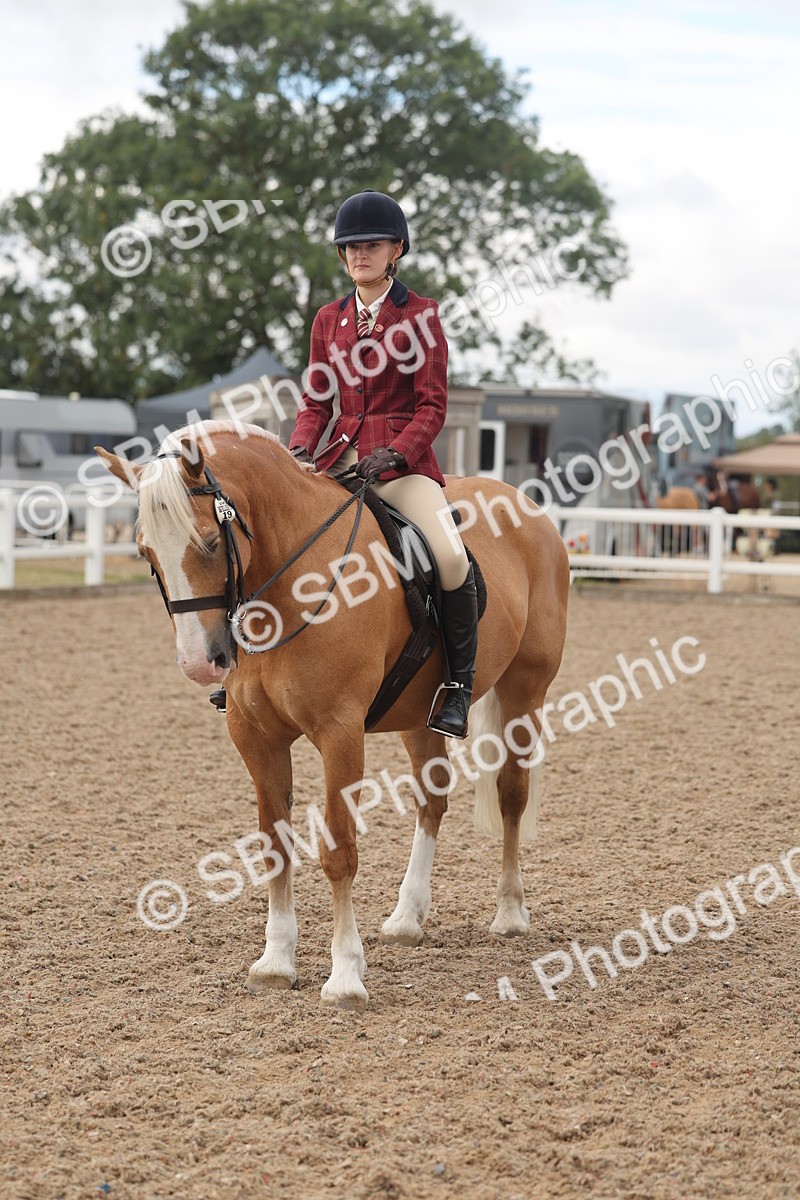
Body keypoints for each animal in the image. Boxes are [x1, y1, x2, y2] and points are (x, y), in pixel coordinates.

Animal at [97, 421, 569, 1010]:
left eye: (208, 541)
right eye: (145, 551)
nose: (199, 664)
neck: (290, 583)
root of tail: (526, 506)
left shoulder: (340, 733)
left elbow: (339, 850)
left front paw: (345, 975)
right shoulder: (256, 738)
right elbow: (275, 845)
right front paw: (276, 962)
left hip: (525, 692)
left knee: (510, 794)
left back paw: (509, 912)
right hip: (419, 715)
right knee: (431, 800)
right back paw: (407, 918)